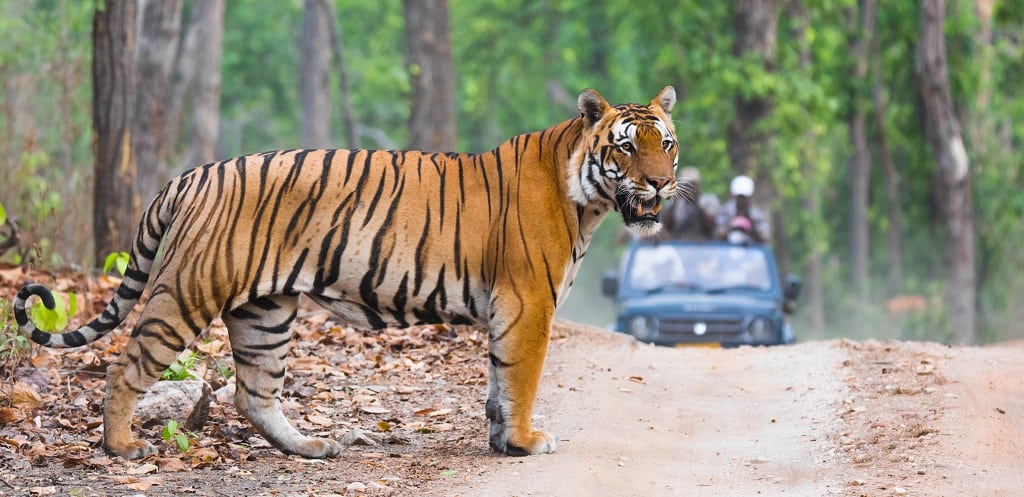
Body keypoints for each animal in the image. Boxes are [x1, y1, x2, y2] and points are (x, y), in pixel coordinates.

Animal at [14, 87, 679, 459]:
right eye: (626, 147)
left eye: (666, 144)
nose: (661, 183)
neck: (585, 199)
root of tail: (193, 174)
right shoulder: (528, 303)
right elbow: (520, 380)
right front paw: (522, 443)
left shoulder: (511, 309)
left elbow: (497, 384)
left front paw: (499, 443)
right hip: (188, 291)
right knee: (127, 366)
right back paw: (121, 446)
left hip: (265, 313)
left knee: (255, 394)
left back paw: (313, 448)